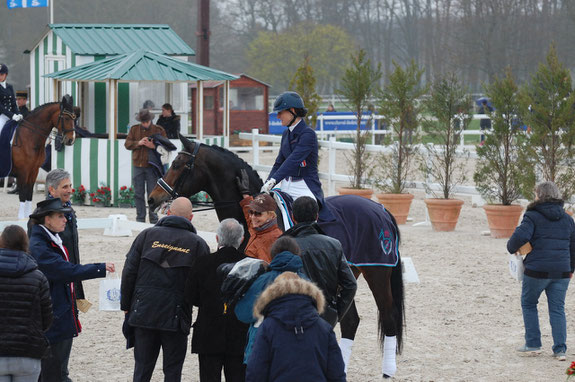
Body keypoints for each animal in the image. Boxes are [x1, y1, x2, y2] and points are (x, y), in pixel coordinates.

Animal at [147, 136, 404, 378]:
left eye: (178, 165)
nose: (152, 198)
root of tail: (379, 209)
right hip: (346, 274)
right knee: (350, 320)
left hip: (377, 271)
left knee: (388, 315)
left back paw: (388, 371)